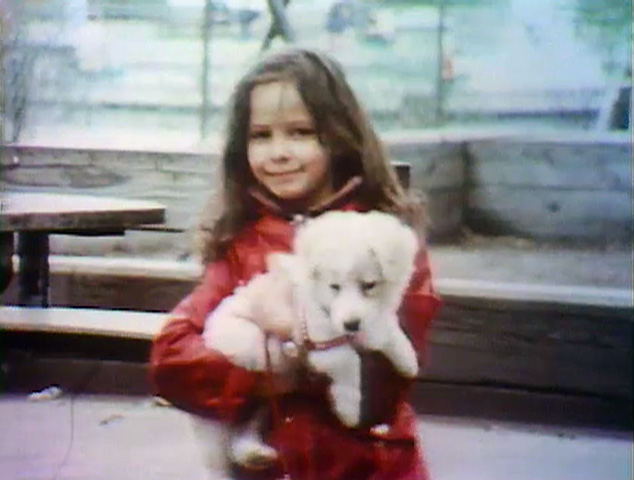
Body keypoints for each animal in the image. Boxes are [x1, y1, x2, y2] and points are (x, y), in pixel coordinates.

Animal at [192, 210, 420, 478]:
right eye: (334, 286)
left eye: (369, 285)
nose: (351, 324)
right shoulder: (316, 337)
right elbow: (347, 358)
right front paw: (348, 408)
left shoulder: (372, 321)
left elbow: (387, 328)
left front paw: (408, 360)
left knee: (245, 430)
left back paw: (255, 453)